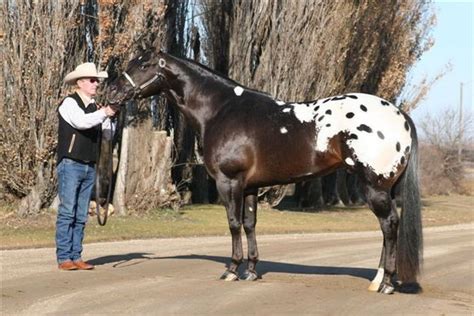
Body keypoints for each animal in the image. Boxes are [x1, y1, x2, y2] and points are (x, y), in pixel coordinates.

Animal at [106, 49, 422, 294]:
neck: (221, 109)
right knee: (388, 227)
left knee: (389, 225)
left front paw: (232, 270)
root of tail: (400, 115)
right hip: (385, 188)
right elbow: (249, 224)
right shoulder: (250, 186)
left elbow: (233, 224)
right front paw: (251, 271)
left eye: (143, 65)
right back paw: (378, 280)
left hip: (375, 186)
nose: (112, 93)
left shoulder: (229, 181)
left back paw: (387, 284)